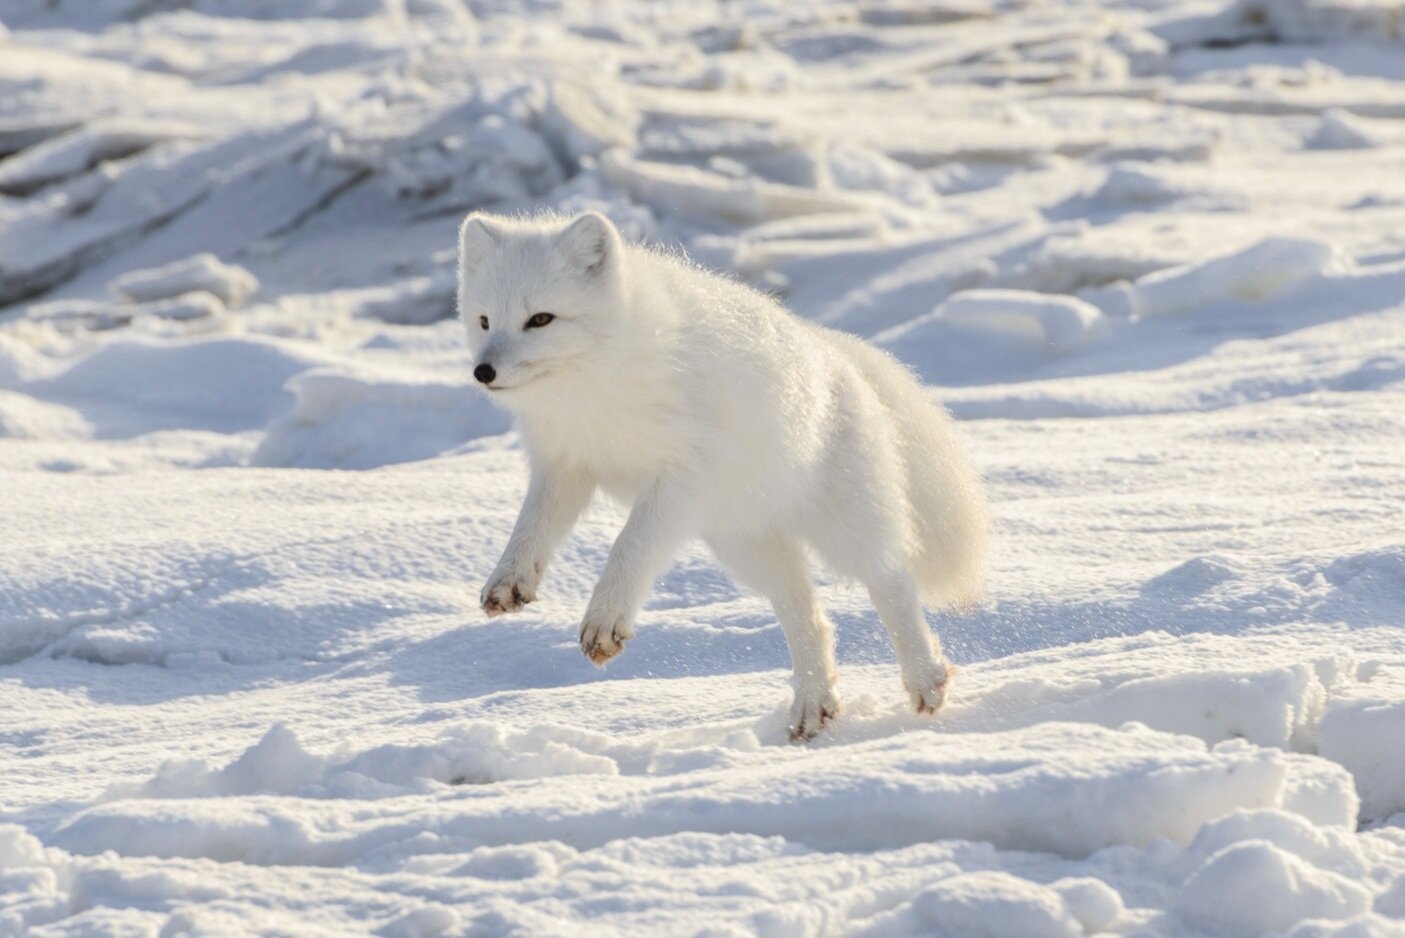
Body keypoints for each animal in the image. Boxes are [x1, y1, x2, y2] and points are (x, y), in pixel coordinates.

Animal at [460, 212, 989, 741]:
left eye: (540, 319)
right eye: (484, 320)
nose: (482, 372)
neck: (592, 388)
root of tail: (835, 351)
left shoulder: (681, 480)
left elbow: (629, 547)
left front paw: (605, 619)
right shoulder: (565, 464)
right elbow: (531, 527)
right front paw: (508, 580)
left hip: (841, 525)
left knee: (891, 580)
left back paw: (925, 680)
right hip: (745, 543)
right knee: (808, 615)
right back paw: (813, 705)